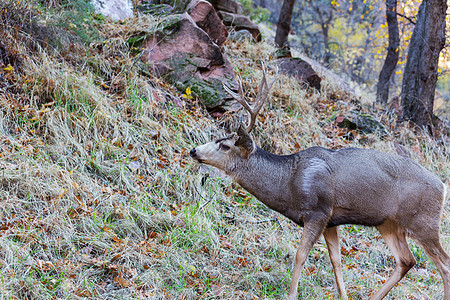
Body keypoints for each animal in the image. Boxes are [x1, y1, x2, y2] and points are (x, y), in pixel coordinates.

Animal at [189, 65, 450, 300]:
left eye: (224, 145)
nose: (193, 150)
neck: (289, 184)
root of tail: (443, 186)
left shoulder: (318, 211)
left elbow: (300, 255)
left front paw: (291, 294)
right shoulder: (331, 220)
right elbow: (336, 260)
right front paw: (343, 296)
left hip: (424, 221)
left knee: (443, 264)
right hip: (388, 223)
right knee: (407, 260)